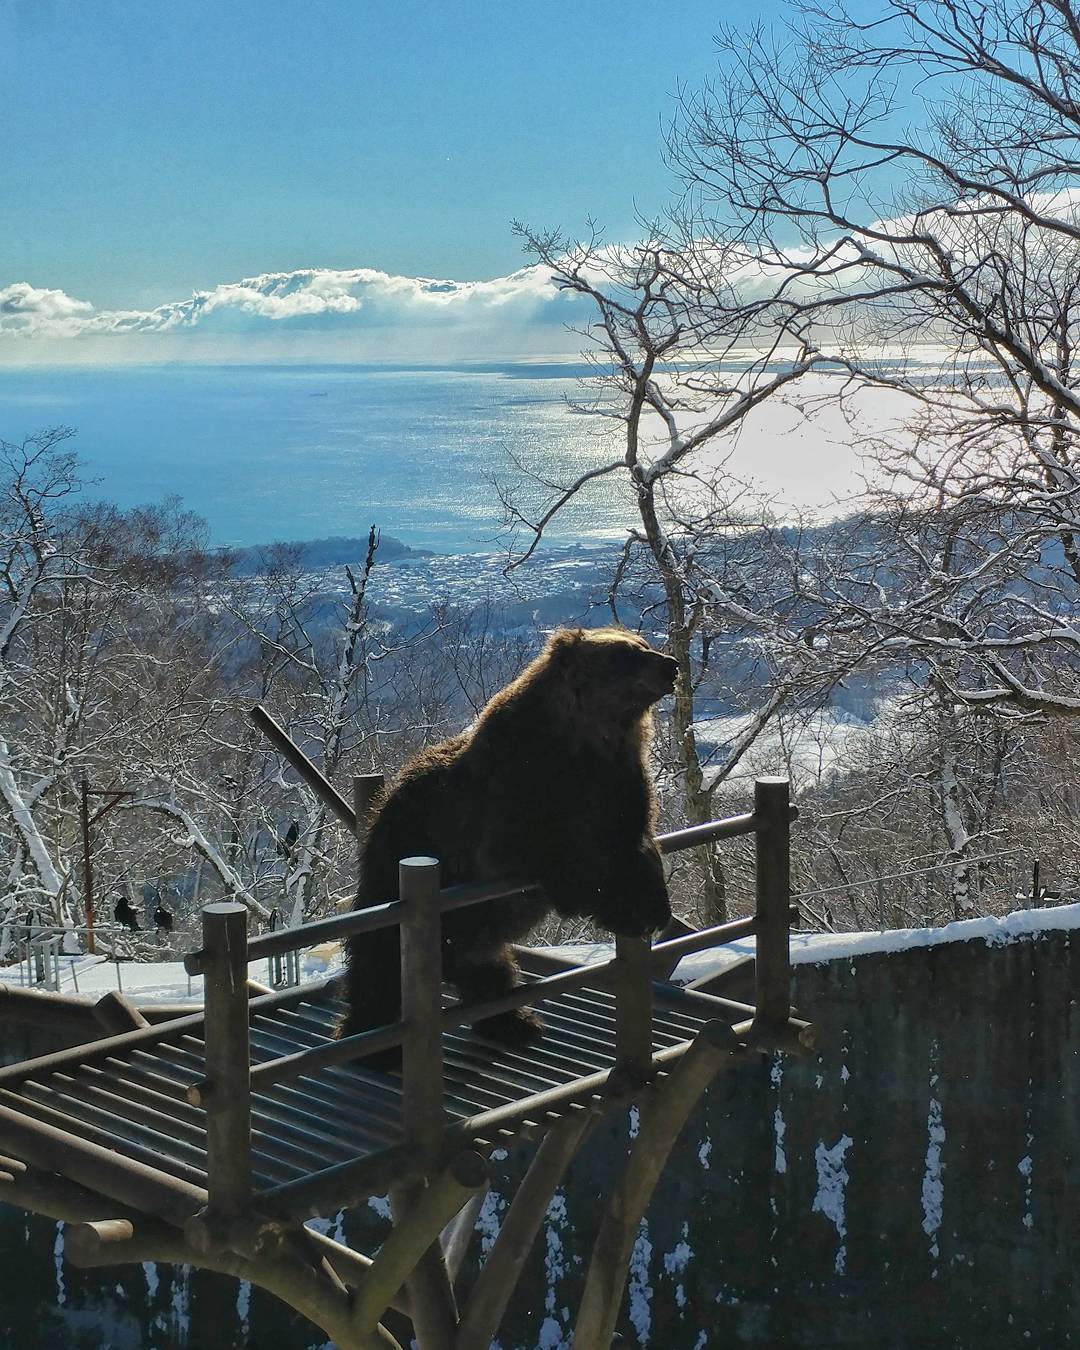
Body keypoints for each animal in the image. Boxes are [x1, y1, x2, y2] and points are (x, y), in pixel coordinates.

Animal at [337, 625, 678, 1060]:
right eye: (625, 653)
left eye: (644, 643)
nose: (670, 664)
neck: (588, 740)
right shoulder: (519, 788)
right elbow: (543, 853)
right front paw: (615, 902)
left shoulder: (622, 782)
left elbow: (637, 844)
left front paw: (652, 902)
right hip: (401, 860)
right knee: (379, 961)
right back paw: (373, 1043)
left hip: (471, 927)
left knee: (490, 969)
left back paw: (514, 1021)